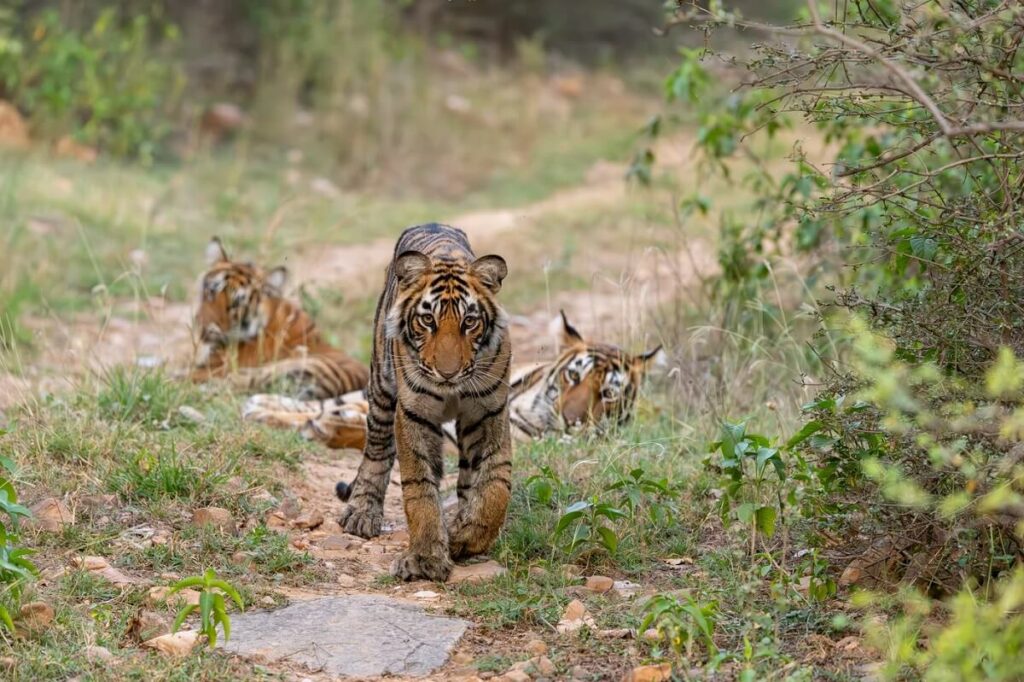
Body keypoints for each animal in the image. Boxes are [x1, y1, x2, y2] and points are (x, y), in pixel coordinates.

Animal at [335, 223, 512, 582]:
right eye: (428, 320)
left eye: (469, 322)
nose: (448, 373)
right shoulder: (415, 414)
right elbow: (419, 488)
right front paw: (426, 558)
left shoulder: (490, 413)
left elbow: (494, 487)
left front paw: (464, 537)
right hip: (381, 390)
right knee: (376, 452)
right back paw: (361, 513)